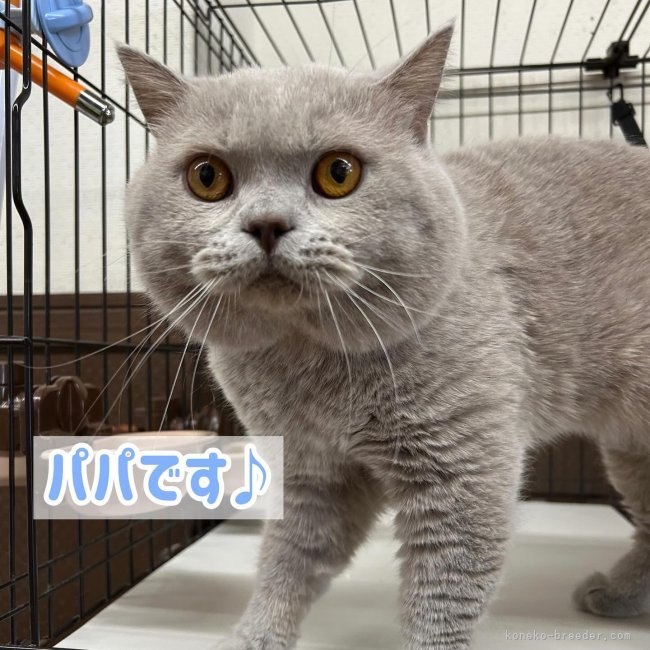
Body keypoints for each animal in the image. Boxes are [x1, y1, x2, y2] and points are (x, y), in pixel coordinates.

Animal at [118, 21, 650, 650]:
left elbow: (444, 594)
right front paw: (257, 635)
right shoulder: (312, 470)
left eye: (338, 172)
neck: (309, 365)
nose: (267, 224)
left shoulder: (463, 473)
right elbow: (289, 558)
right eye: (207, 176)